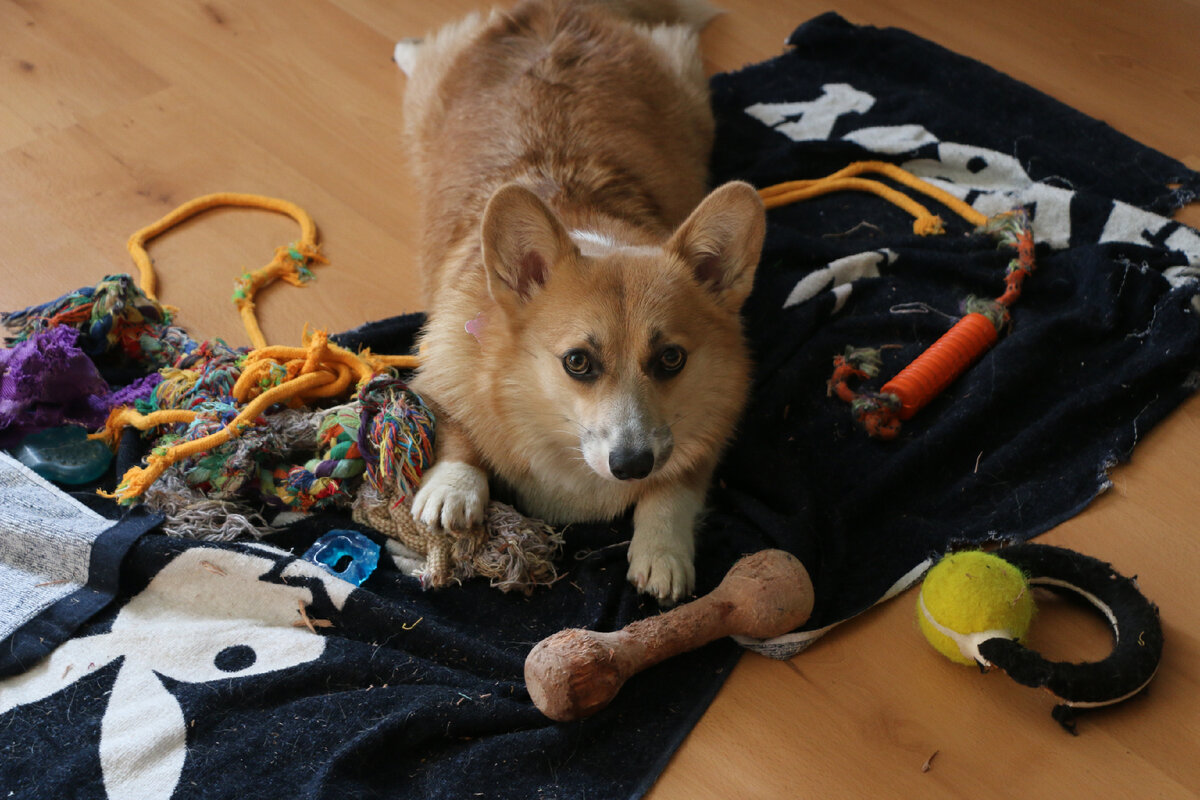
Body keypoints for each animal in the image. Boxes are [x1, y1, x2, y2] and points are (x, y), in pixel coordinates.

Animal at [398, 0, 763, 599]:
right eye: (577, 362)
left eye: (671, 359)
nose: (632, 464)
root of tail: (558, 9)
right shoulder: (439, 372)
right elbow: (456, 427)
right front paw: (454, 489)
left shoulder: (709, 429)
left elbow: (675, 487)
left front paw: (662, 552)